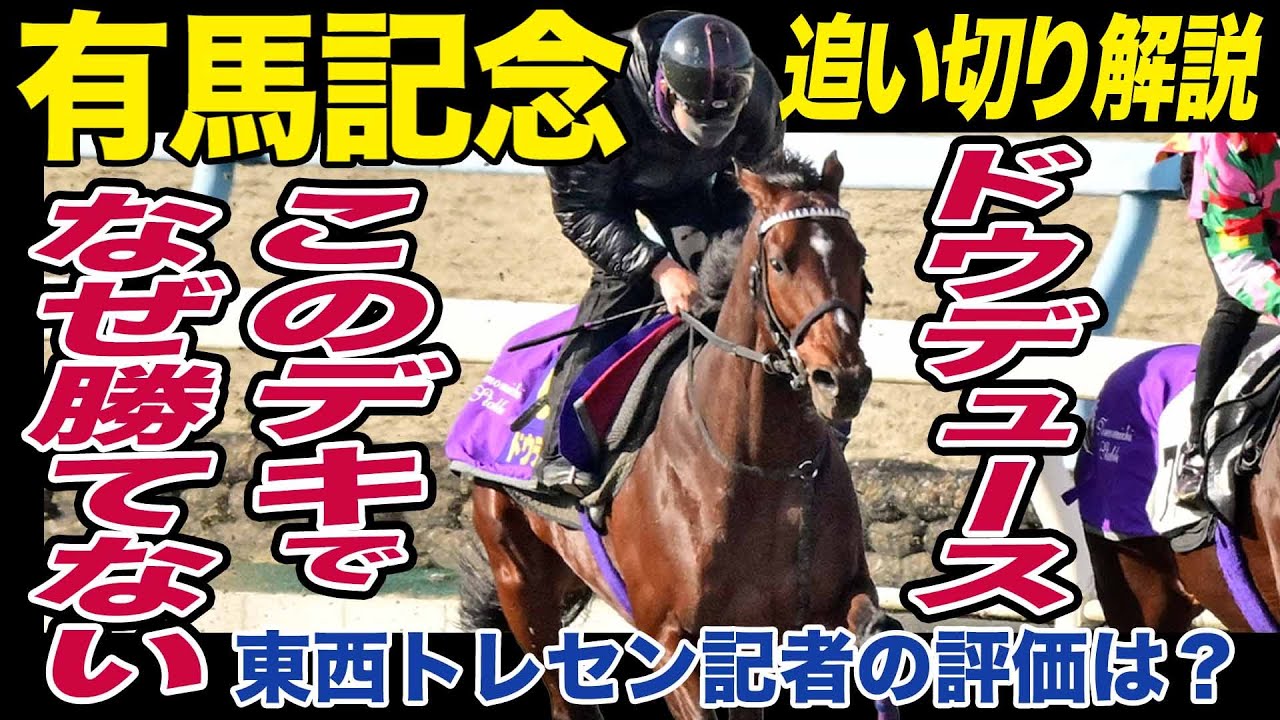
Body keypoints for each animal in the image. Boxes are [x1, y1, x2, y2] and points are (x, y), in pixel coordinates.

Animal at [453, 149, 903, 720]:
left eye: (858, 256)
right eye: (780, 262)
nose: (842, 380)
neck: (766, 466)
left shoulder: (825, 602)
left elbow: (873, 628)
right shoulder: (673, 637)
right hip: (520, 583)